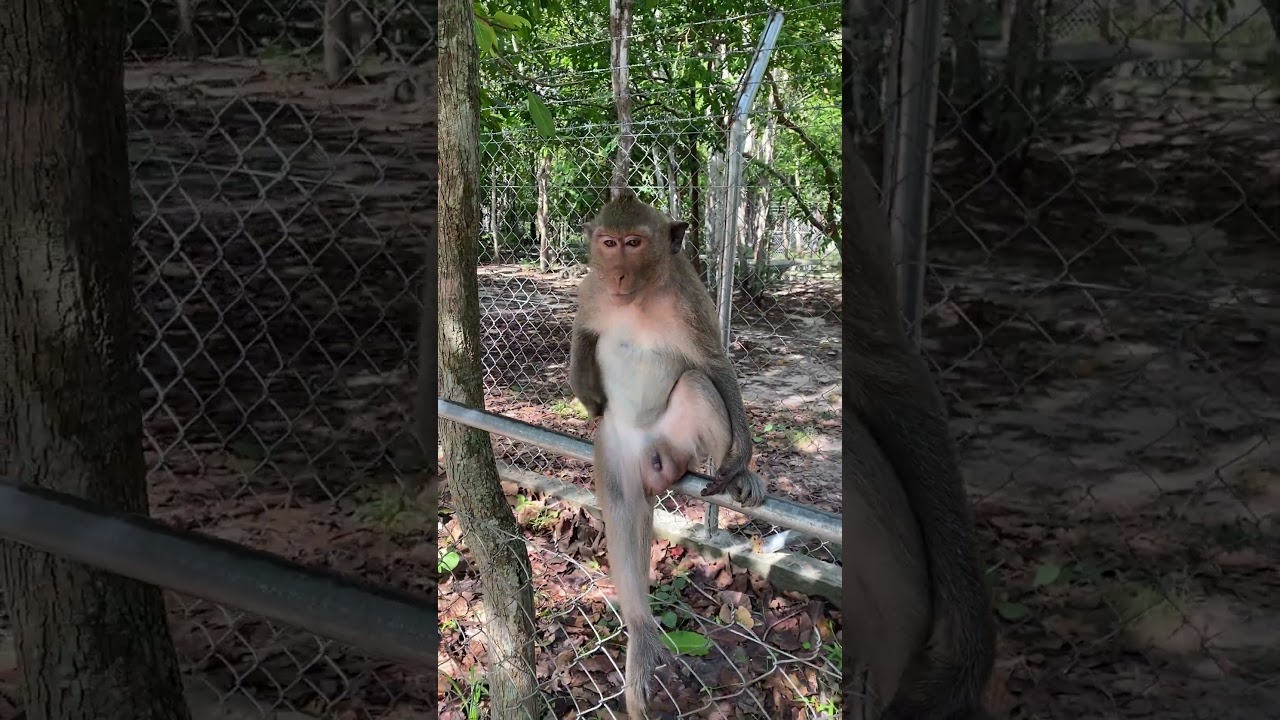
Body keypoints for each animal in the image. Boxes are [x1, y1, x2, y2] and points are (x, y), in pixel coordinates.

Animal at [568, 190, 767, 718]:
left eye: (634, 243)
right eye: (608, 242)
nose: (617, 274)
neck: (638, 297)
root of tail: (658, 459)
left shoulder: (689, 294)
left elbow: (715, 364)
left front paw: (744, 460)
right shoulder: (590, 291)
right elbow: (583, 337)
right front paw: (587, 392)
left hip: (680, 443)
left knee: (697, 383)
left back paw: (736, 476)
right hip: (615, 449)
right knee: (623, 507)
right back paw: (640, 631)